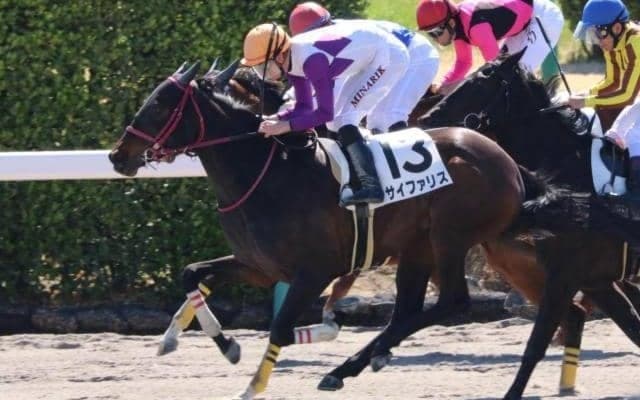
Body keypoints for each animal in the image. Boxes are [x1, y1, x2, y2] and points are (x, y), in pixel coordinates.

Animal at [108, 61, 540, 399]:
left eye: (161, 104)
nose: (117, 155)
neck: (268, 173)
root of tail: (508, 161)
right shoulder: (258, 266)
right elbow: (192, 274)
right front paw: (225, 344)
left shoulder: (316, 270)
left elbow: (282, 326)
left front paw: (253, 385)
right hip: (418, 247)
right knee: (406, 312)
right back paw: (347, 368)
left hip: (449, 238)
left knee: (451, 302)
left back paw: (348, 365)